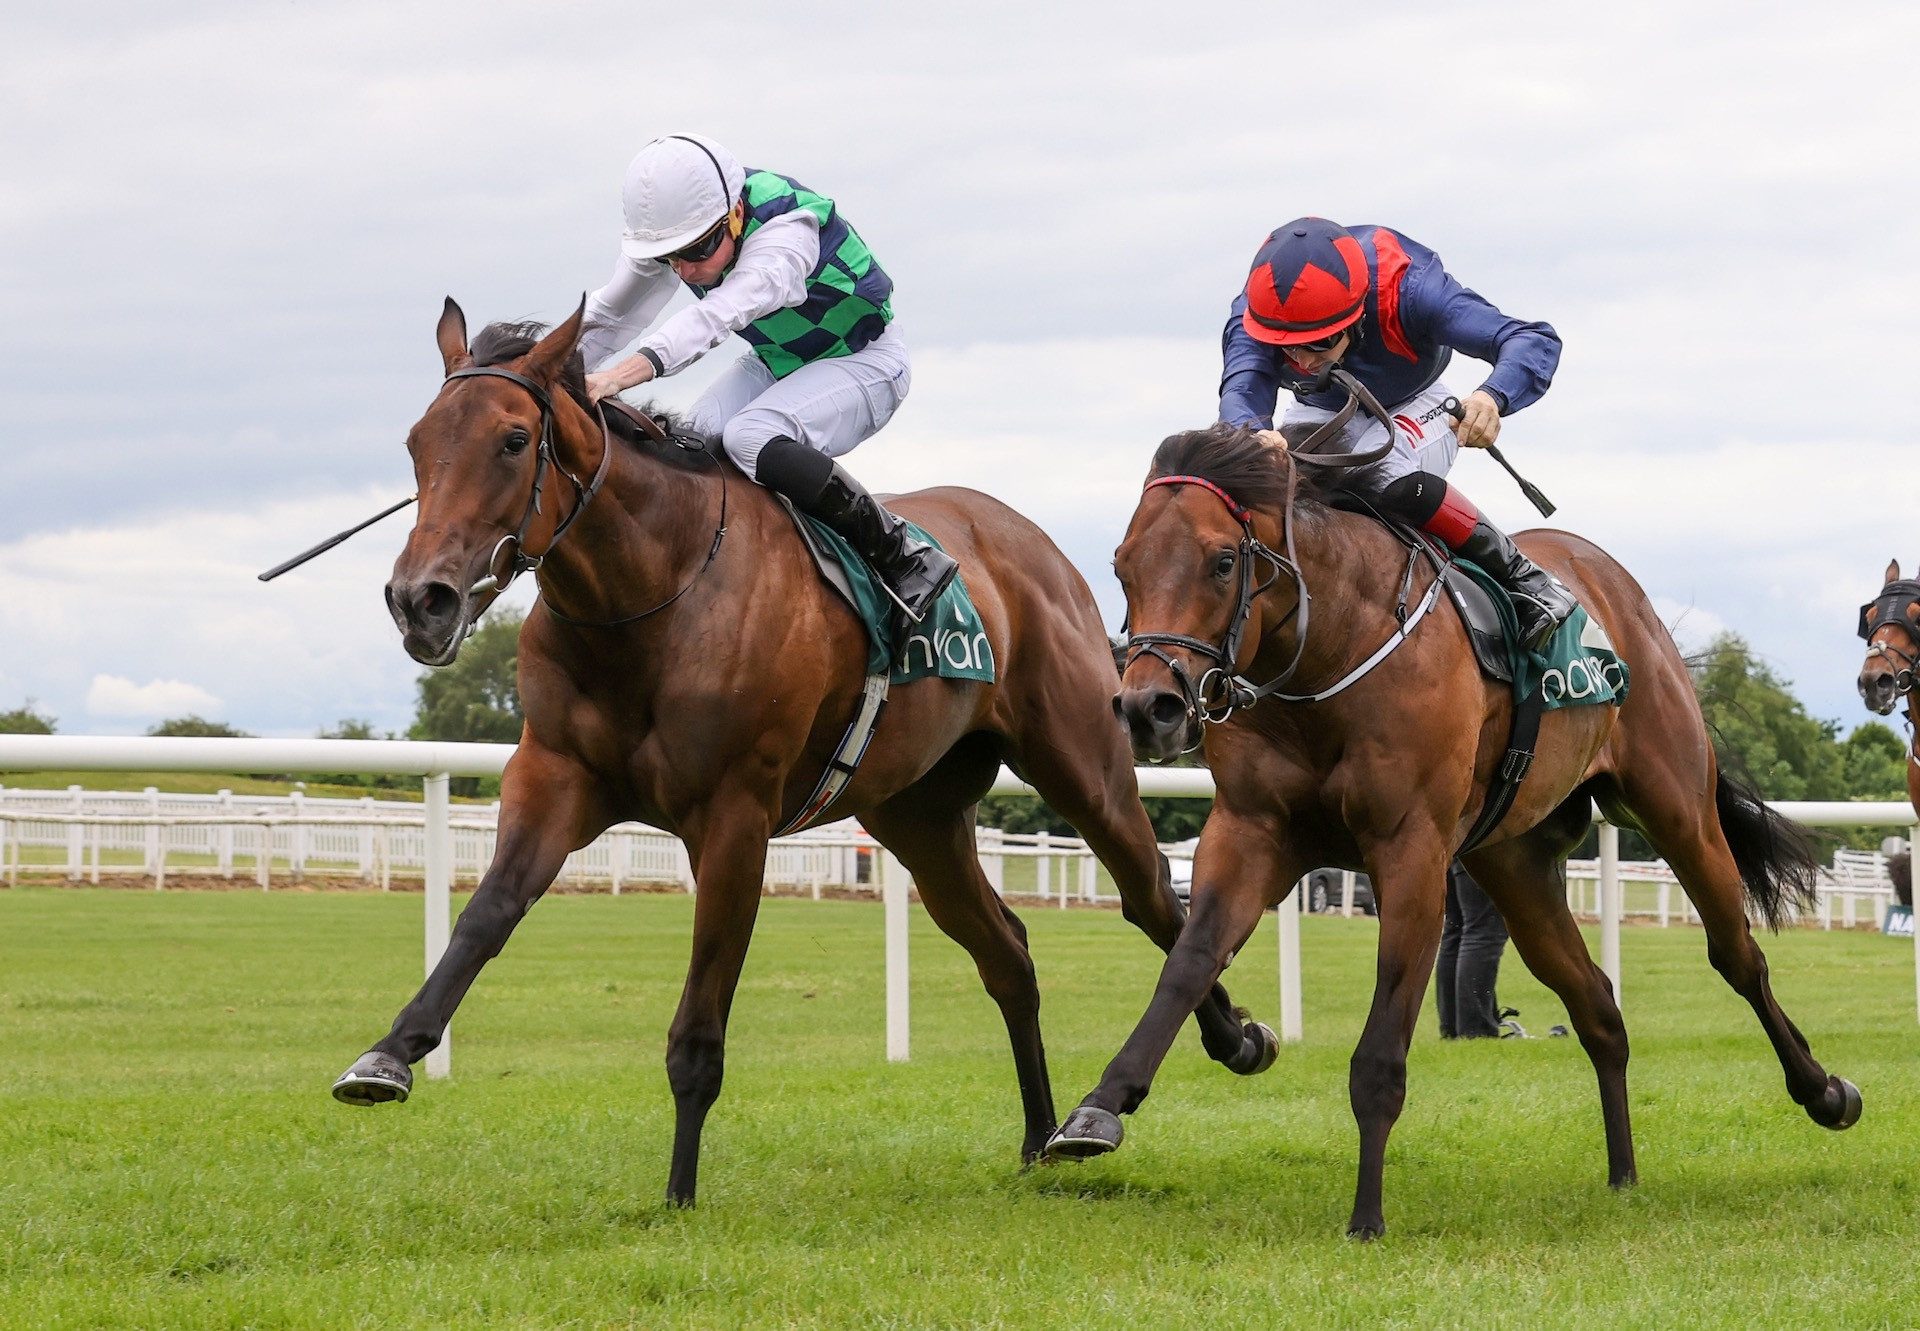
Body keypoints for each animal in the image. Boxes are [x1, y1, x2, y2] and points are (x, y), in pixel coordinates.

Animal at [336, 303, 1282, 1206]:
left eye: (512, 440)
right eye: (417, 442)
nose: (420, 599)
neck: (653, 593)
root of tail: (1031, 541)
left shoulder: (733, 816)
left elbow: (699, 1025)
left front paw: (679, 1193)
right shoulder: (553, 776)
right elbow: (485, 914)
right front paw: (387, 1055)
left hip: (1085, 765)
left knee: (1155, 899)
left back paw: (1229, 1045)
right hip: (917, 813)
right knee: (1008, 951)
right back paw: (1038, 1136)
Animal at [1052, 422, 1858, 1236]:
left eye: (1222, 561)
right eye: (1121, 566)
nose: (1147, 708)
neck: (1331, 650)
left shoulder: (1410, 849)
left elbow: (1382, 1044)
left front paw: (1366, 1217)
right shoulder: (1252, 830)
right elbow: (1189, 959)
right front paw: (1100, 1107)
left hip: (1678, 810)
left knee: (1737, 956)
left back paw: (1824, 1091)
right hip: (1515, 863)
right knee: (1597, 1005)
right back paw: (1624, 1172)